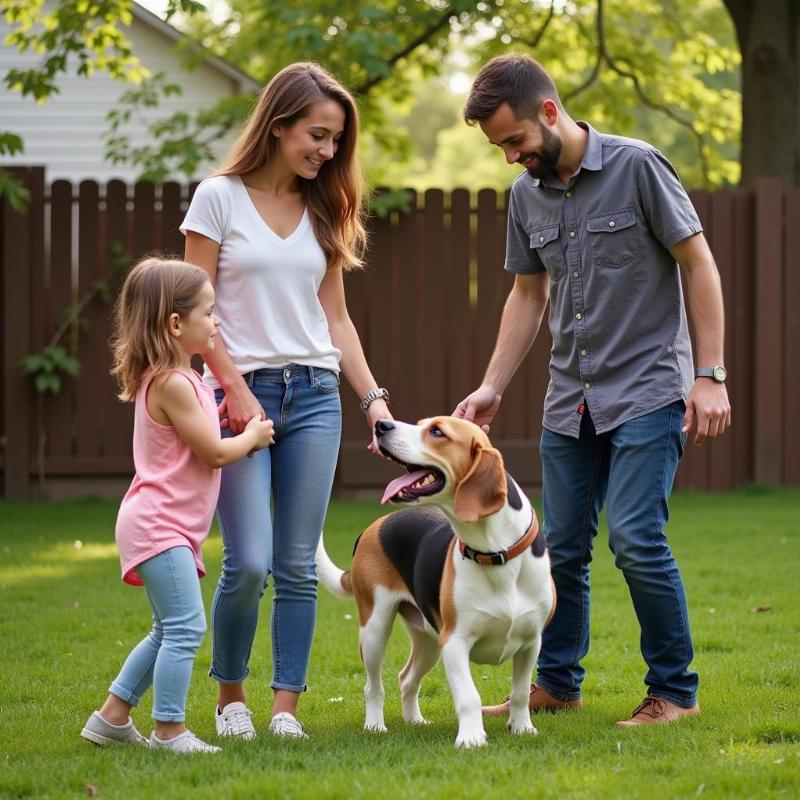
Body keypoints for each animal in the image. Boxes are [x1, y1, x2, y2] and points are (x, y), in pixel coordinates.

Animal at [316, 416, 552, 748]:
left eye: (437, 431)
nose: (381, 425)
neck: (495, 552)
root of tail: (377, 525)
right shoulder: (455, 641)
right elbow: (469, 696)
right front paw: (471, 737)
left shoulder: (531, 643)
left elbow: (520, 694)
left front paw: (522, 728)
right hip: (375, 629)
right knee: (373, 686)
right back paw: (375, 725)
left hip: (428, 641)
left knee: (406, 678)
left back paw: (414, 721)